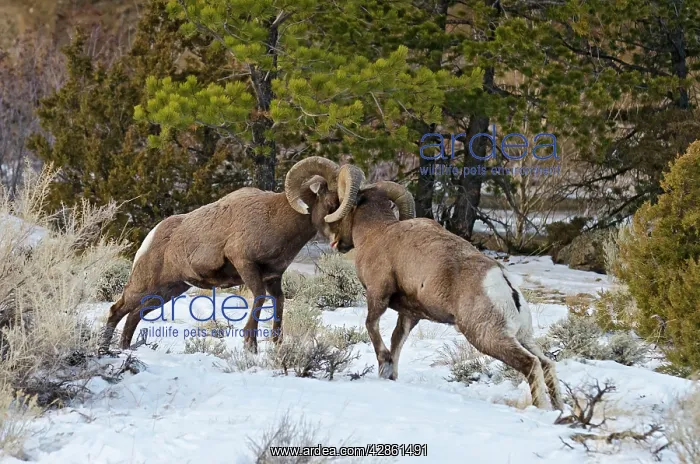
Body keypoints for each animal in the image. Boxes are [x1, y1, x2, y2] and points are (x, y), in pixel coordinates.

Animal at [99, 157, 365, 354]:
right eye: (332, 202)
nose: (342, 242)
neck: (275, 220)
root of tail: (152, 236)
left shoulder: (273, 276)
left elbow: (278, 303)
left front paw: (277, 344)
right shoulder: (245, 264)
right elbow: (259, 299)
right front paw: (250, 346)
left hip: (169, 291)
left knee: (134, 316)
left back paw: (125, 350)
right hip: (144, 286)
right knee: (117, 310)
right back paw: (105, 350)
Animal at [324, 181, 564, 410]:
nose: (335, 241)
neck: (378, 233)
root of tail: (504, 282)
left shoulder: (378, 294)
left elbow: (372, 326)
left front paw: (384, 366)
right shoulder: (410, 314)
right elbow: (396, 341)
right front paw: (391, 375)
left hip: (487, 337)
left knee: (530, 364)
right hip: (523, 336)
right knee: (546, 363)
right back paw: (559, 410)